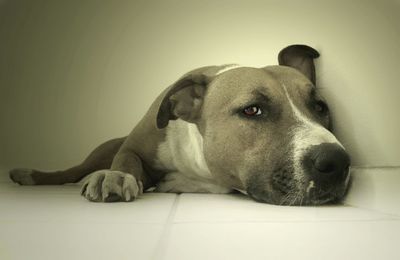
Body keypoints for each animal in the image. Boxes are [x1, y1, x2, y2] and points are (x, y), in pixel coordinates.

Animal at [7, 44, 350, 205]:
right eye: (252, 110)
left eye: (320, 107)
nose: (337, 161)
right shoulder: (135, 144)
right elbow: (127, 159)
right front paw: (117, 177)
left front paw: (174, 182)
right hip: (101, 150)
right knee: (71, 171)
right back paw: (31, 175)